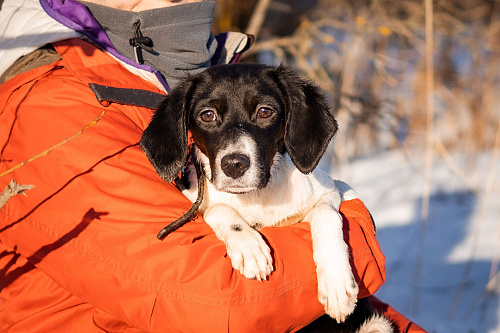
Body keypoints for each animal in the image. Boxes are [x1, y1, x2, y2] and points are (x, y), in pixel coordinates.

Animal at [142, 63, 394, 330]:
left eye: (265, 111)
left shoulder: (331, 191)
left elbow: (326, 214)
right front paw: (248, 246)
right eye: (207, 115)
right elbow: (217, 208)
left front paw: (336, 283)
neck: (256, 196)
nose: (234, 165)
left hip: (378, 325)